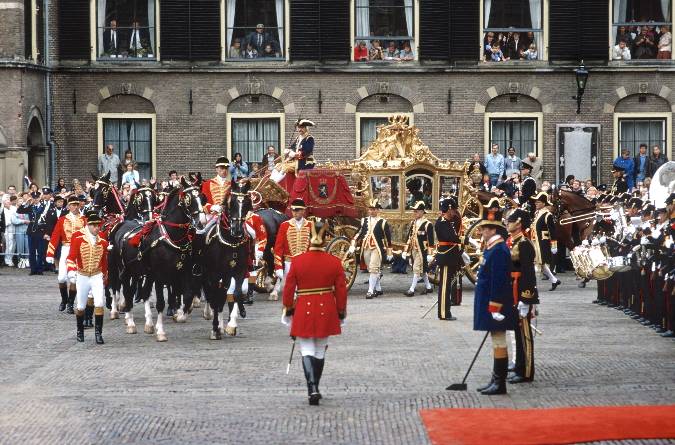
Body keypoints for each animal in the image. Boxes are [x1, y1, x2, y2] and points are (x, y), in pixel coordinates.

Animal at [203, 179, 254, 338]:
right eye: (231, 203)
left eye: (247, 203)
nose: (237, 230)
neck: (231, 242)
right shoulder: (213, 275)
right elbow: (215, 297)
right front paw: (215, 328)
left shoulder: (239, 271)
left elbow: (236, 294)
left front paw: (233, 322)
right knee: (214, 296)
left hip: (225, 275)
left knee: (222, 295)